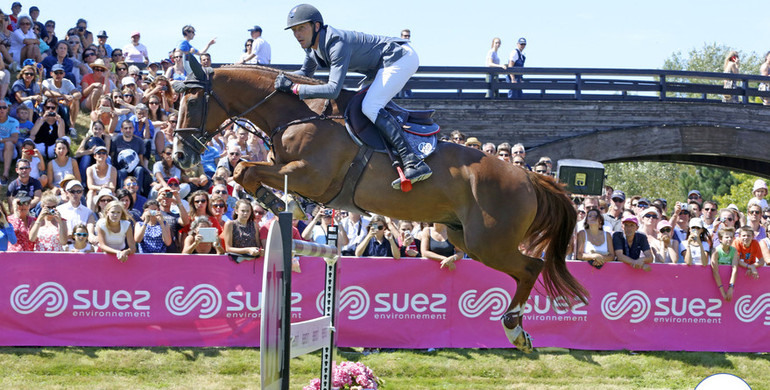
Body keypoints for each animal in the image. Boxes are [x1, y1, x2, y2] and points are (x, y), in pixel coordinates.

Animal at [172, 58, 584, 354]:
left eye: (191, 101)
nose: (180, 156)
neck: (295, 115)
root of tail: (528, 177)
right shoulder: (286, 169)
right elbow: (242, 169)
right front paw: (284, 204)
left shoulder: (311, 175)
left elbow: (245, 169)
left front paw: (286, 203)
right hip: (465, 238)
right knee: (524, 268)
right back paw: (519, 333)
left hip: (489, 243)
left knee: (531, 267)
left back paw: (515, 331)